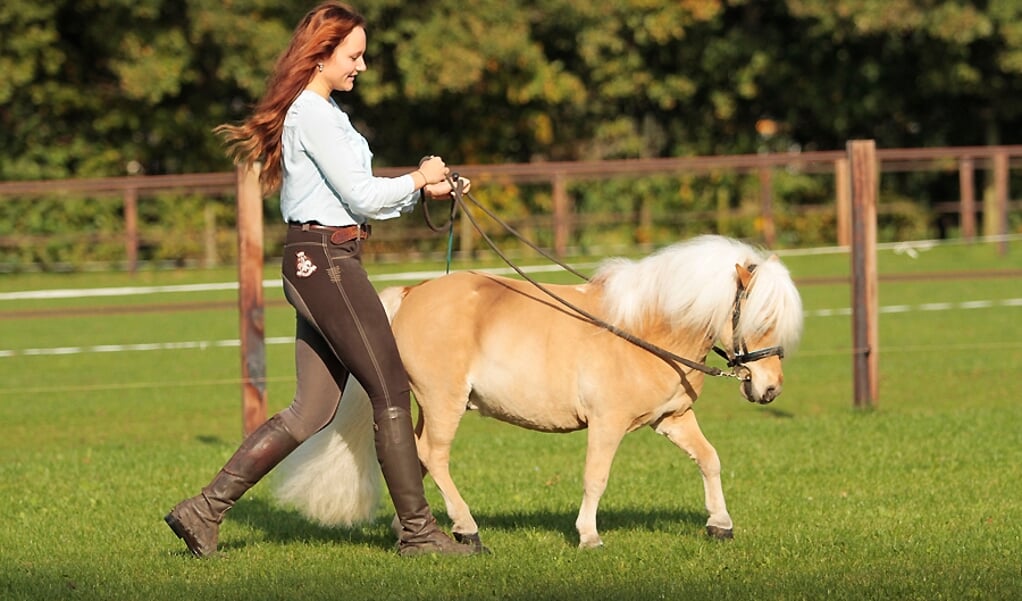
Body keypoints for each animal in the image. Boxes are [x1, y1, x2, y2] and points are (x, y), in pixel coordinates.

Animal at [275, 234, 801, 547]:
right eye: (761, 317)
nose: (771, 389)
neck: (645, 330)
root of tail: (411, 294)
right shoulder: (606, 424)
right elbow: (596, 478)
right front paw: (588, 536)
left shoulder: (671, 420)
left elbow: (710, 460)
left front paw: (720, 524)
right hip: (445, 402)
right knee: (432, 455)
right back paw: (466, 529)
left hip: (427, 404)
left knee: (414, 456)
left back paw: (412, 528)